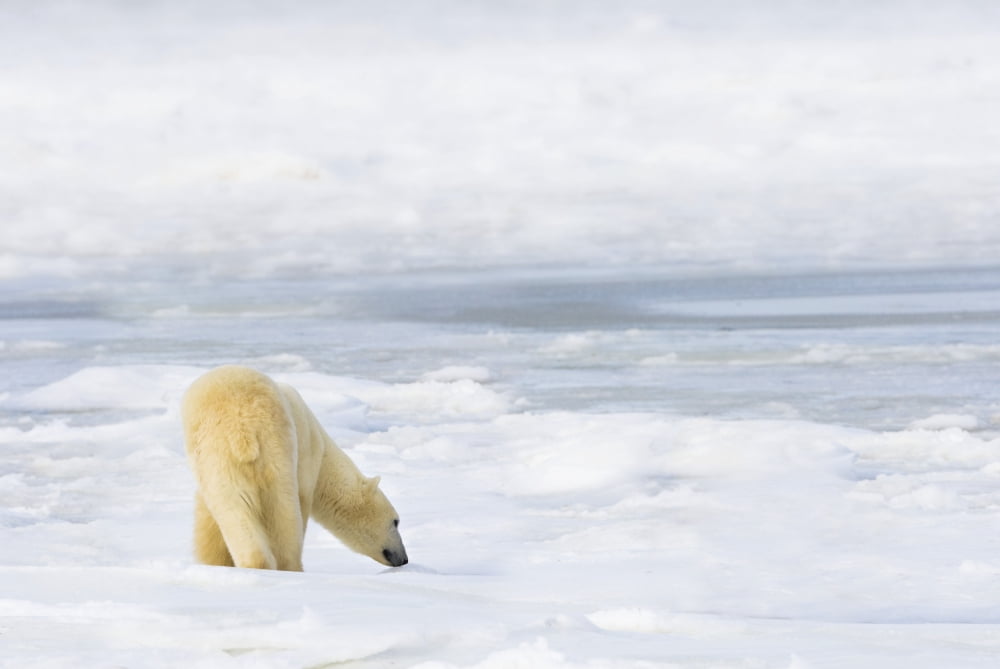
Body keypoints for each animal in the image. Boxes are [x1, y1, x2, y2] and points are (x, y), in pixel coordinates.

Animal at [181, 365, 408, 571]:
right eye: (395, 521)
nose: (404, 559)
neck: (323, 450)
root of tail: (242, 428)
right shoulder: (307, 453)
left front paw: (215, 562)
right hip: (274, 454)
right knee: (284, 515)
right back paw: (290, 567)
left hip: (224, 461)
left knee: (236, 508)